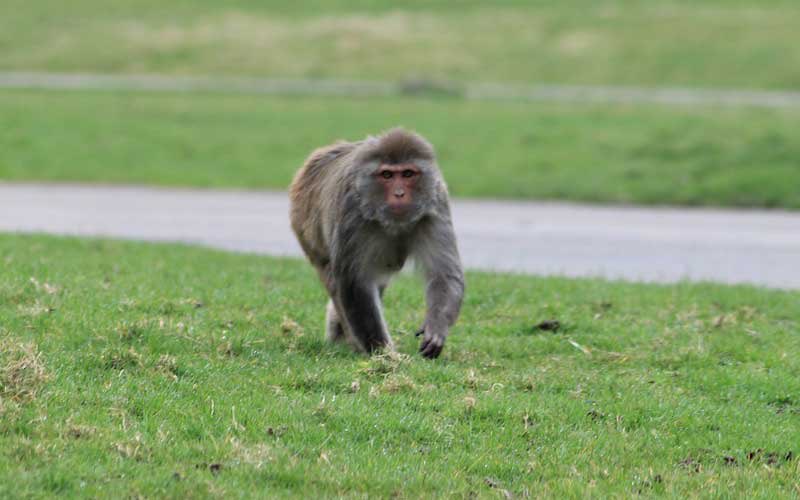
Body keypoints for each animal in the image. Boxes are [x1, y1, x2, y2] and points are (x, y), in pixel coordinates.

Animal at [290, 127, 462, 358]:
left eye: (408, 174)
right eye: (387, 175)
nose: (399, 194)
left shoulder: (435, 205)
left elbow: (444, 274)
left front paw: (436, 328)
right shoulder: (352, 211)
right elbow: (356, 283)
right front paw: (385, 353)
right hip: (305, 224)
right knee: (334, 279)